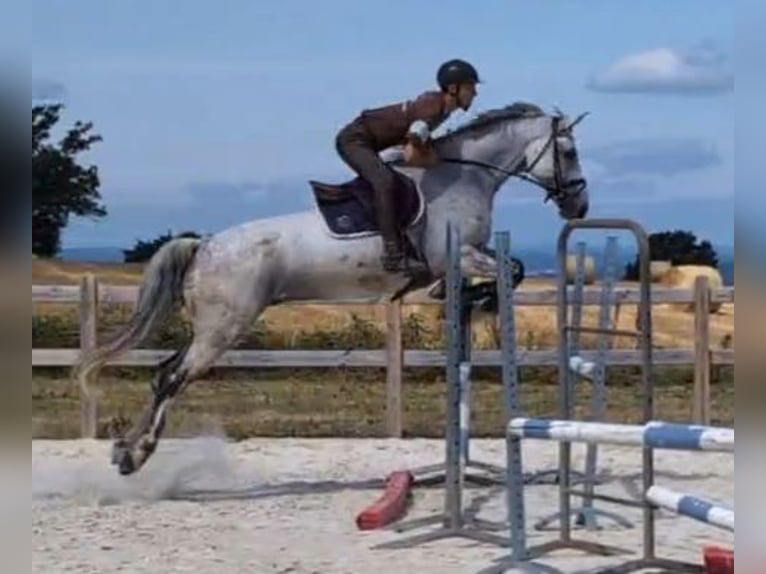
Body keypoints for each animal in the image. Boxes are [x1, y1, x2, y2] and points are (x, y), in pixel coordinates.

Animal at [73, 101, 590, 475]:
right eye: (568, 153)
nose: (579, 206)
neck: (466, 175)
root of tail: (205, 246)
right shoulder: (459, 254)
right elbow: (513, 269)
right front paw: (482, 298)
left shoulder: (466, 256)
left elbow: (504, 271)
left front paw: (463, 298)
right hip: (223, 329)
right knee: (171, 378)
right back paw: (135, 455)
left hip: (212, 329)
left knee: (163, 371)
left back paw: (123, 449)